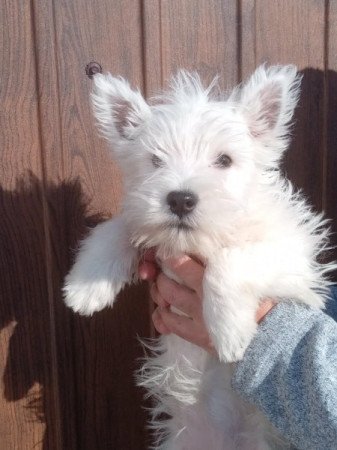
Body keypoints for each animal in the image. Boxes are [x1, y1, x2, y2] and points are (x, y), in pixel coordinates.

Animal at [63, 65, 334, 448]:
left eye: (224, 160)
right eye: (155, 160)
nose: (180, 199)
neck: (198, 241)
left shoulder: (295, 258)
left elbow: (229, 263)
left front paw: (230, 332)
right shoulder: (145, 221)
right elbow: (120, 226)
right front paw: (86, 286)